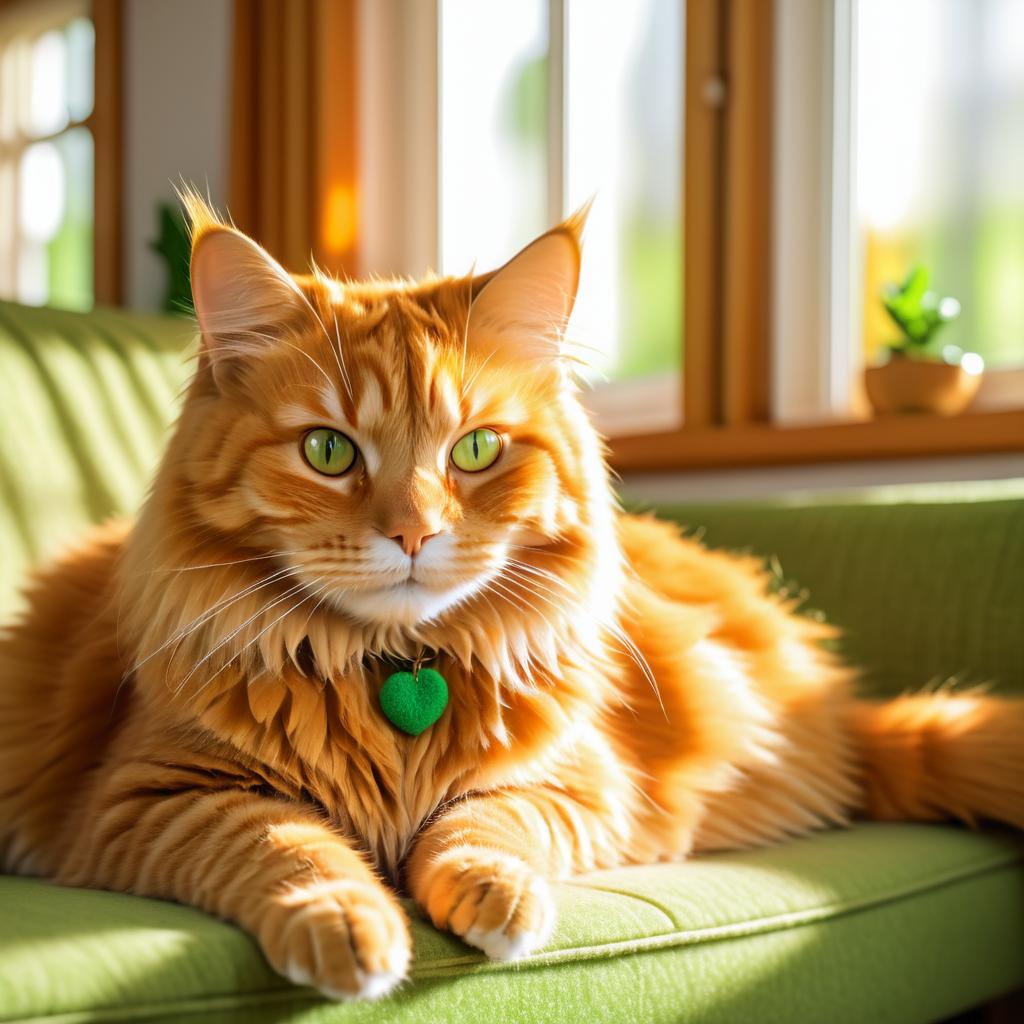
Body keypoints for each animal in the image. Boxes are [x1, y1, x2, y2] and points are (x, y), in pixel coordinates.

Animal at [2, 193, 1024, 999]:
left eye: (477, 449)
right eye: (328, 451)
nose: (414, 532)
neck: (391, 669)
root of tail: (841, 713)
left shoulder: (578, 784)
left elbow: (487, 821)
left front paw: (492, 895)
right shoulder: (151, 795)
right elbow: (287, 844)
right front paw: (352, 924)